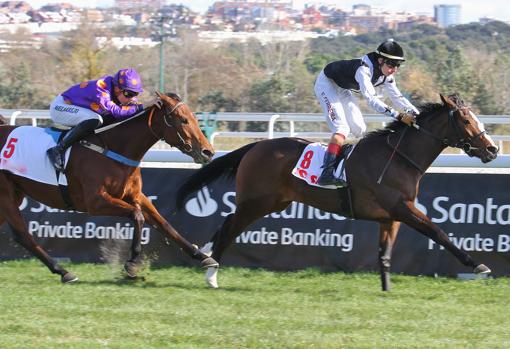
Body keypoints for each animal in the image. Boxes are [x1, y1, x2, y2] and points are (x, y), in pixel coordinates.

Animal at [0, 91, 217, 282]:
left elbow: (164, 224)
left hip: (14, 195)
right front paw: (132, 263)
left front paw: (202, 256)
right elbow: (137, 215)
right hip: (6, 196)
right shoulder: (95, 202)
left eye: (195, 118)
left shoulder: (136, 196)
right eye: (183, 120)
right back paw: (63, 271)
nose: (208, 152)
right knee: (23, 235)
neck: (114, 148)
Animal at [178, 93, 498, 290]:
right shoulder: (402, 208)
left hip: (272, 203)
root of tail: (256, 146)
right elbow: (439, 232)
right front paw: (478, 266)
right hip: (256, 203)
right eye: (466, 120)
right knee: (229, 228)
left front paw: (386, 288)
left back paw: (206, 256)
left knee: (227, 224)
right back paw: (211, 273)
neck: (398, 157)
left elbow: (385, 254)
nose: (493, 149)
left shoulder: (390, 217)